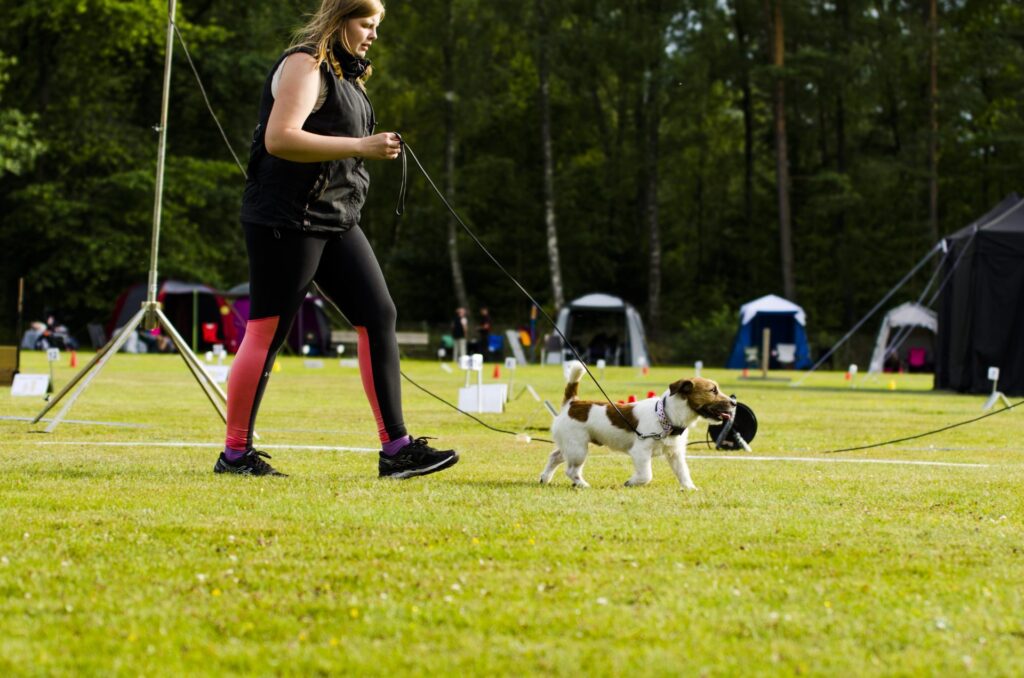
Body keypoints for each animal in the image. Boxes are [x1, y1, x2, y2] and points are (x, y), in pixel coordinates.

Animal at [540, 360, 733, 493]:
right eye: (713, 390)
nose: (733, 403)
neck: (665, 416)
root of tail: (572, 403)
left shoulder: (675, 453)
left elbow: (683, 472)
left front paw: (690, 488)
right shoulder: (641, 451)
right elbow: (646, 475)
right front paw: (631, 482)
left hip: (571, 446)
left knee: (554, 456)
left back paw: (545, 478)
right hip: (578, 449)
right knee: (571, 470)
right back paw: (582, 484)